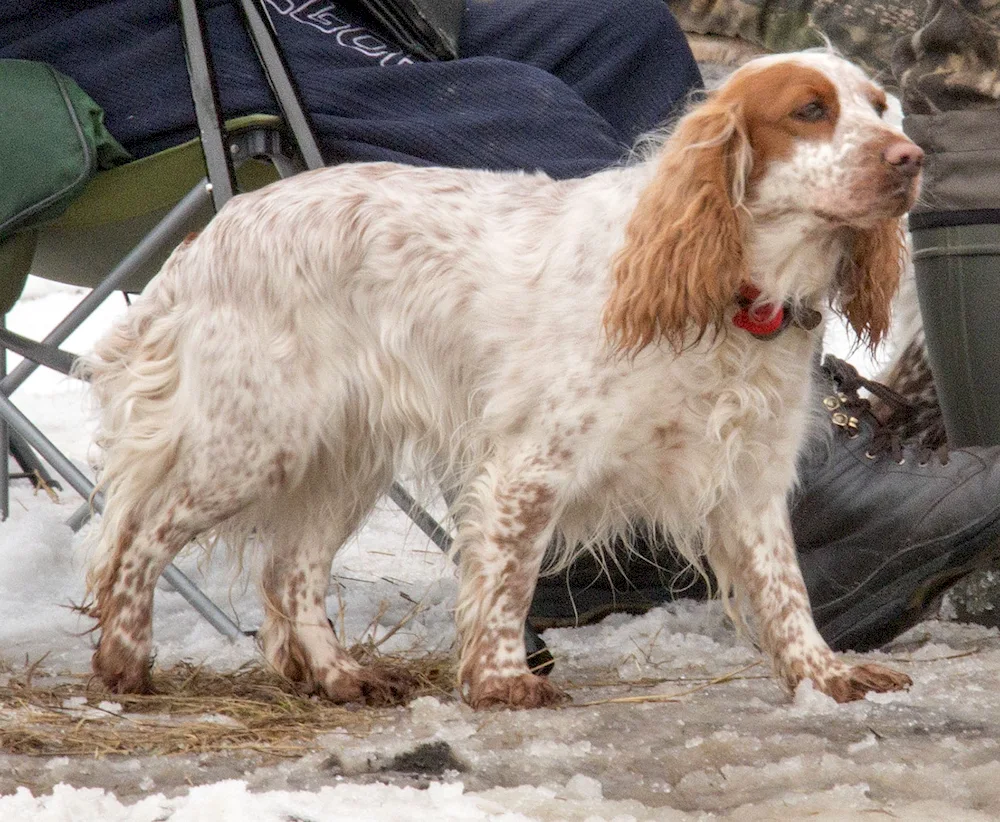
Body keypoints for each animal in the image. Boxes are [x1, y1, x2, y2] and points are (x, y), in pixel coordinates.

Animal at [86, 50, 920, 708]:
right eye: (810, 110)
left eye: (881, 107)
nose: (910, 158)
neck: (735, 295)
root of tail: (209, 236)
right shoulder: (531, 468)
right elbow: (511, 580)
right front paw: (500, 681)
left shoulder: (750, 480)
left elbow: (787, 592)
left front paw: (824, 674)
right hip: (257, 442)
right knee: (141, 532)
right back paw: (124, 660)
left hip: (346, 461)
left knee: (289, 569)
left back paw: (340, 676)